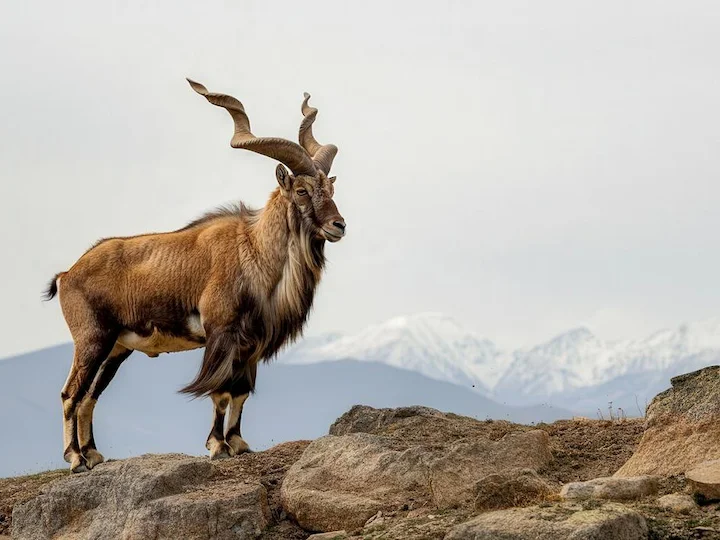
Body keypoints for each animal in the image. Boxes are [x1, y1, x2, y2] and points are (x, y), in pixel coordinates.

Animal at [44, 79, 346, 472]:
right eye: (301, 190)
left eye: (331, 189)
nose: (338, 225)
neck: (253, 250)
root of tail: (68, 273)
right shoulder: (221, 332)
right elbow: (219, 392)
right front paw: (218, 445)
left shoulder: (251, 343)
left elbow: (241, 392)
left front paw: (239, 443)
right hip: (91, 339)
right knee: (71, 393)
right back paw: (76, 458)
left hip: (116, 348)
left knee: (90, 396)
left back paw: (93, 453)